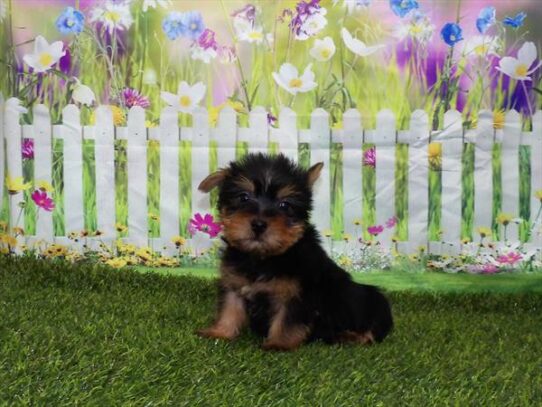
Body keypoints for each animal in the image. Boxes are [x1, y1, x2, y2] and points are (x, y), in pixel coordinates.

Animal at [198, 153, 394, 350]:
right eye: (243, 197)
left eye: (285, 205)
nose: (259, 224)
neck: (263, 257)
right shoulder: (234, 283)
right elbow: (230, 308)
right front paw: (220, 332)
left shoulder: (297, 294)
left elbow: (287, 321)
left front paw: (278, 344)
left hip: (373, 303)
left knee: (373, 329)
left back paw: (351, 336)